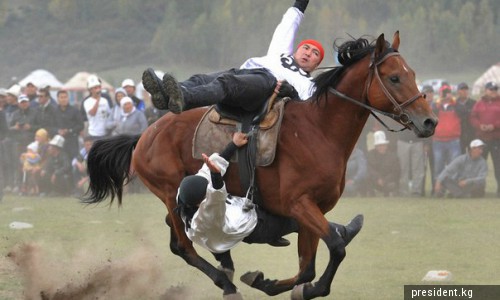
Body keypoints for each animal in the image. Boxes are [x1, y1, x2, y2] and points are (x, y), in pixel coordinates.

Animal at [84, 31, 436, 298]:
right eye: (394, 77)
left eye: (413, 74)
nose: (429, 121)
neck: (318, 131)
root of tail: (145, 134)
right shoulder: (299, 204)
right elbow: (335, 248)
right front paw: (292, 286)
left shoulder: (312, 210)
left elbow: (307, 266)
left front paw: (270, 282)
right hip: (171, 191)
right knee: (184, 245)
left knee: (178, 239)